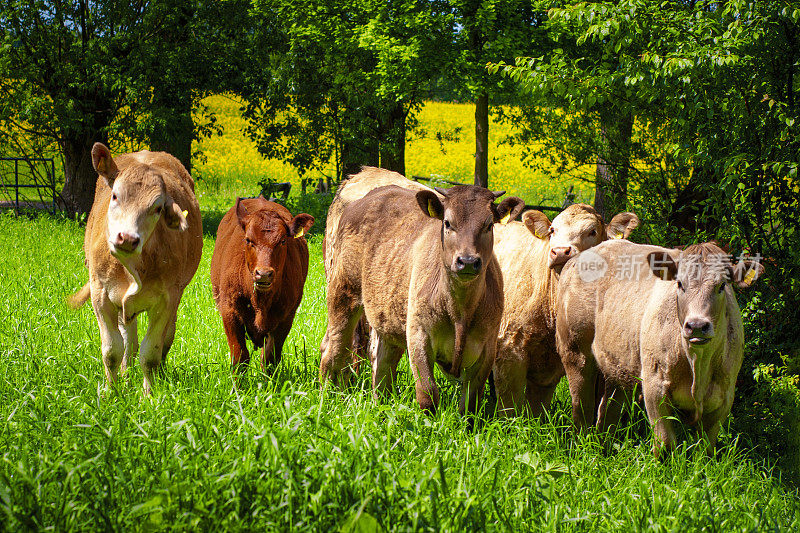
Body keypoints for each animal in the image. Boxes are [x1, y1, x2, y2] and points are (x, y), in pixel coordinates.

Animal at [68, 143, 203, 392]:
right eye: (115, 196)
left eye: (157, 208)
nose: (127, 238)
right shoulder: (101, 294)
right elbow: (112, 351)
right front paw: (112, 391)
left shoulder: (167, 299)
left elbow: (150, 354)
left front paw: (149, 394)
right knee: (129, 341)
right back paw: (126, 374)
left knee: (164, 340)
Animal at [209, 194, 316, 370]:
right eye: (248, 240)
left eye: (283, 241)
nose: (264, 274)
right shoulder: (229, 310)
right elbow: (240, 356)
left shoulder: (286, 317)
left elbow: (270, 358)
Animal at [318, 184, 524, 416]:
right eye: (447, 223)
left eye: (489, 224)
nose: (468, 261)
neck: (460, 311)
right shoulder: (419, 334)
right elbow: (428, 393)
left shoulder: (487, 348)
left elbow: (469, 405)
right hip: (343, 293)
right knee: (333, 350)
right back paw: (327, 399)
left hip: (386, 317)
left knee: (382, 364)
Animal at [490, 204, 640, 416]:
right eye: (553, 230)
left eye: (592, 231)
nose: (560, 251)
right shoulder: (509, 351)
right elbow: (509, 409)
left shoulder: (548, 374)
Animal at [556, 241, 764, 454]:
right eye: (679, 284)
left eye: (722, 285)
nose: (697, 325)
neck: (697, 364)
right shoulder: (654, 388)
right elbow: (665, 443)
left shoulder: (724, 397)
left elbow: (705, 449)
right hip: (575, 352)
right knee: (581, 405)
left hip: (617, 366)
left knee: (607, 410)